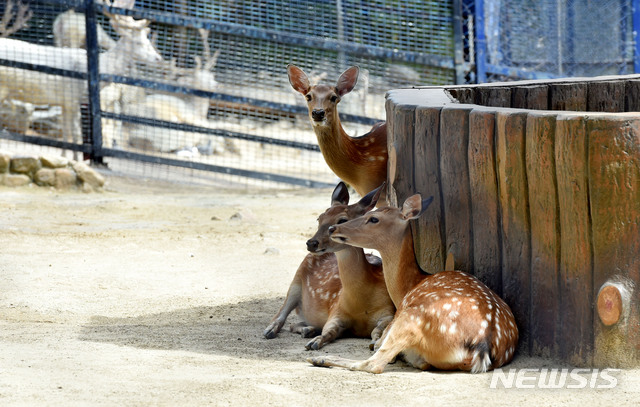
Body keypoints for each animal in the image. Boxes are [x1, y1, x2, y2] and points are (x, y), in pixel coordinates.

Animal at [310, 193, 520, 374]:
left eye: (374, 218)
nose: (333, 229)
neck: (407, 286)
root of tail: (481, 347)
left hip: (411, 317)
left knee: (374, 363)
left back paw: (319, 359)